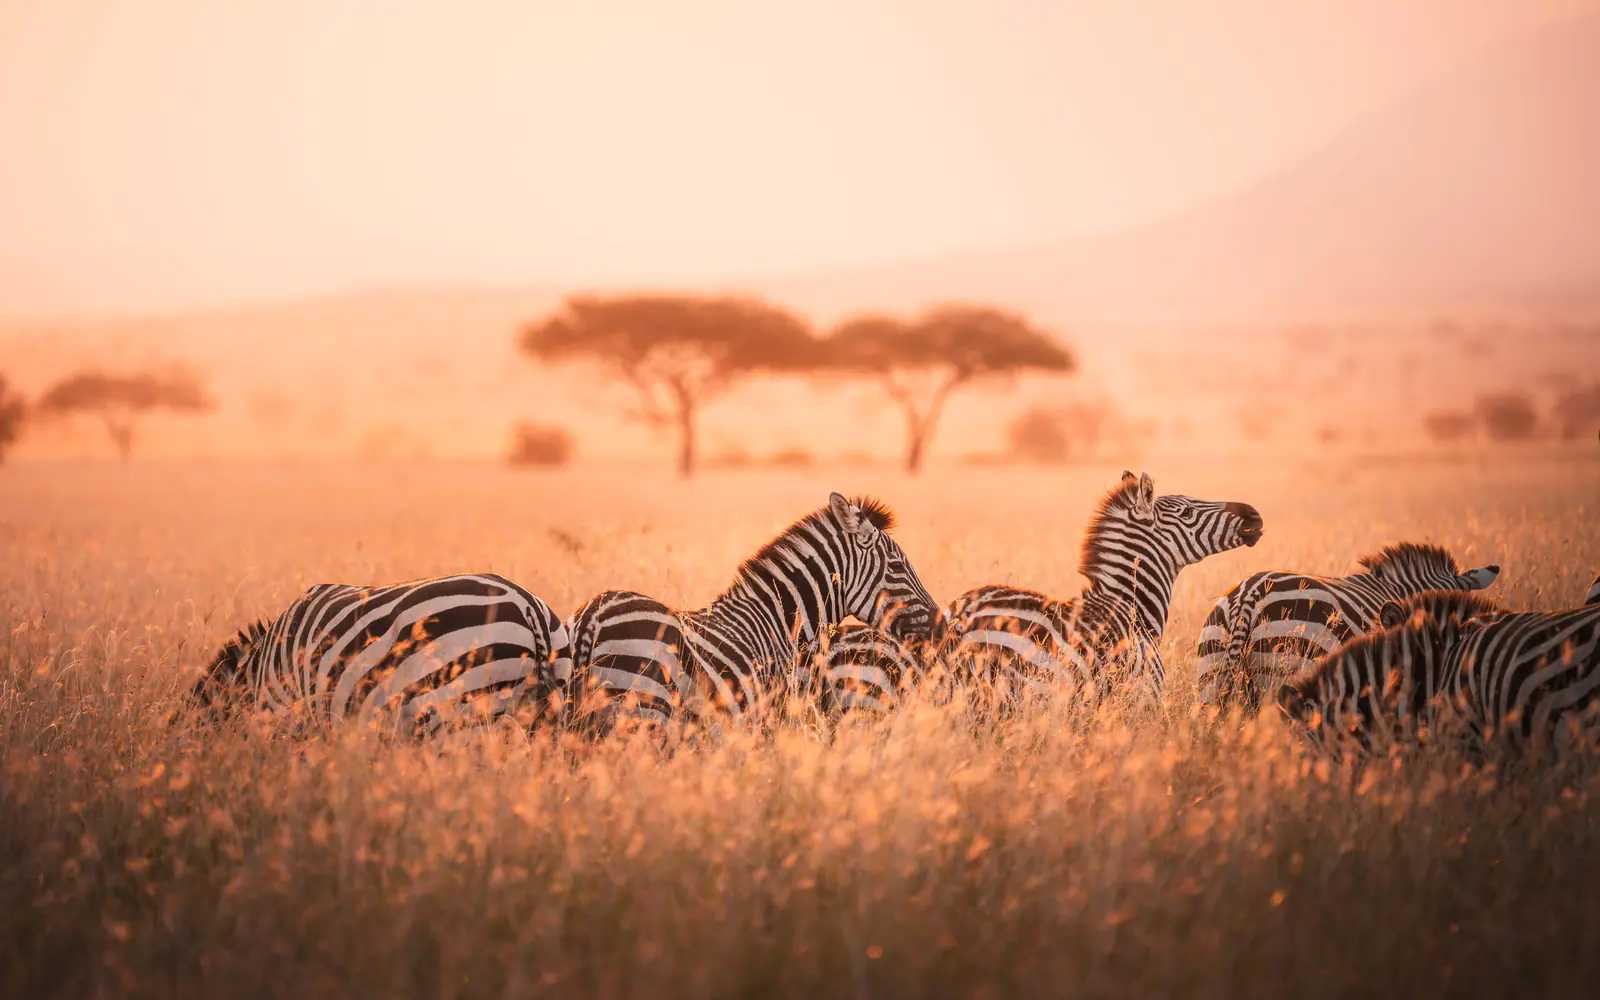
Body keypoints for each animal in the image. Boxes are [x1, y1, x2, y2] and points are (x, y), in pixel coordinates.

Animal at [566, 492, 940, 732]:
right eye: (896, 566)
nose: (941, 626)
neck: (777, 620)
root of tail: (593, 615)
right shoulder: (762, 717)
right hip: (642, 709)